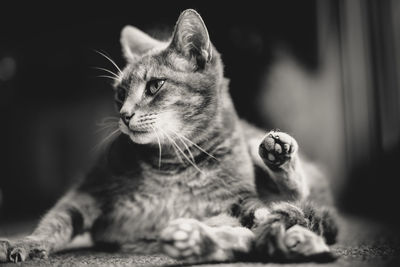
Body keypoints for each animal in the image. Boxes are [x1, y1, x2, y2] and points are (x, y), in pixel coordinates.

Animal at [0, 8, 338, 266]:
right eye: (120, 94)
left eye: (154, 86)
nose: (124, 115)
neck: (173, 163)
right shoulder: (90, 190)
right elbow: (56, 221)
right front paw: (26, 243)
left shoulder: (242, 200)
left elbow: (265, 215)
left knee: (296, 206)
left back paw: (279, 162)